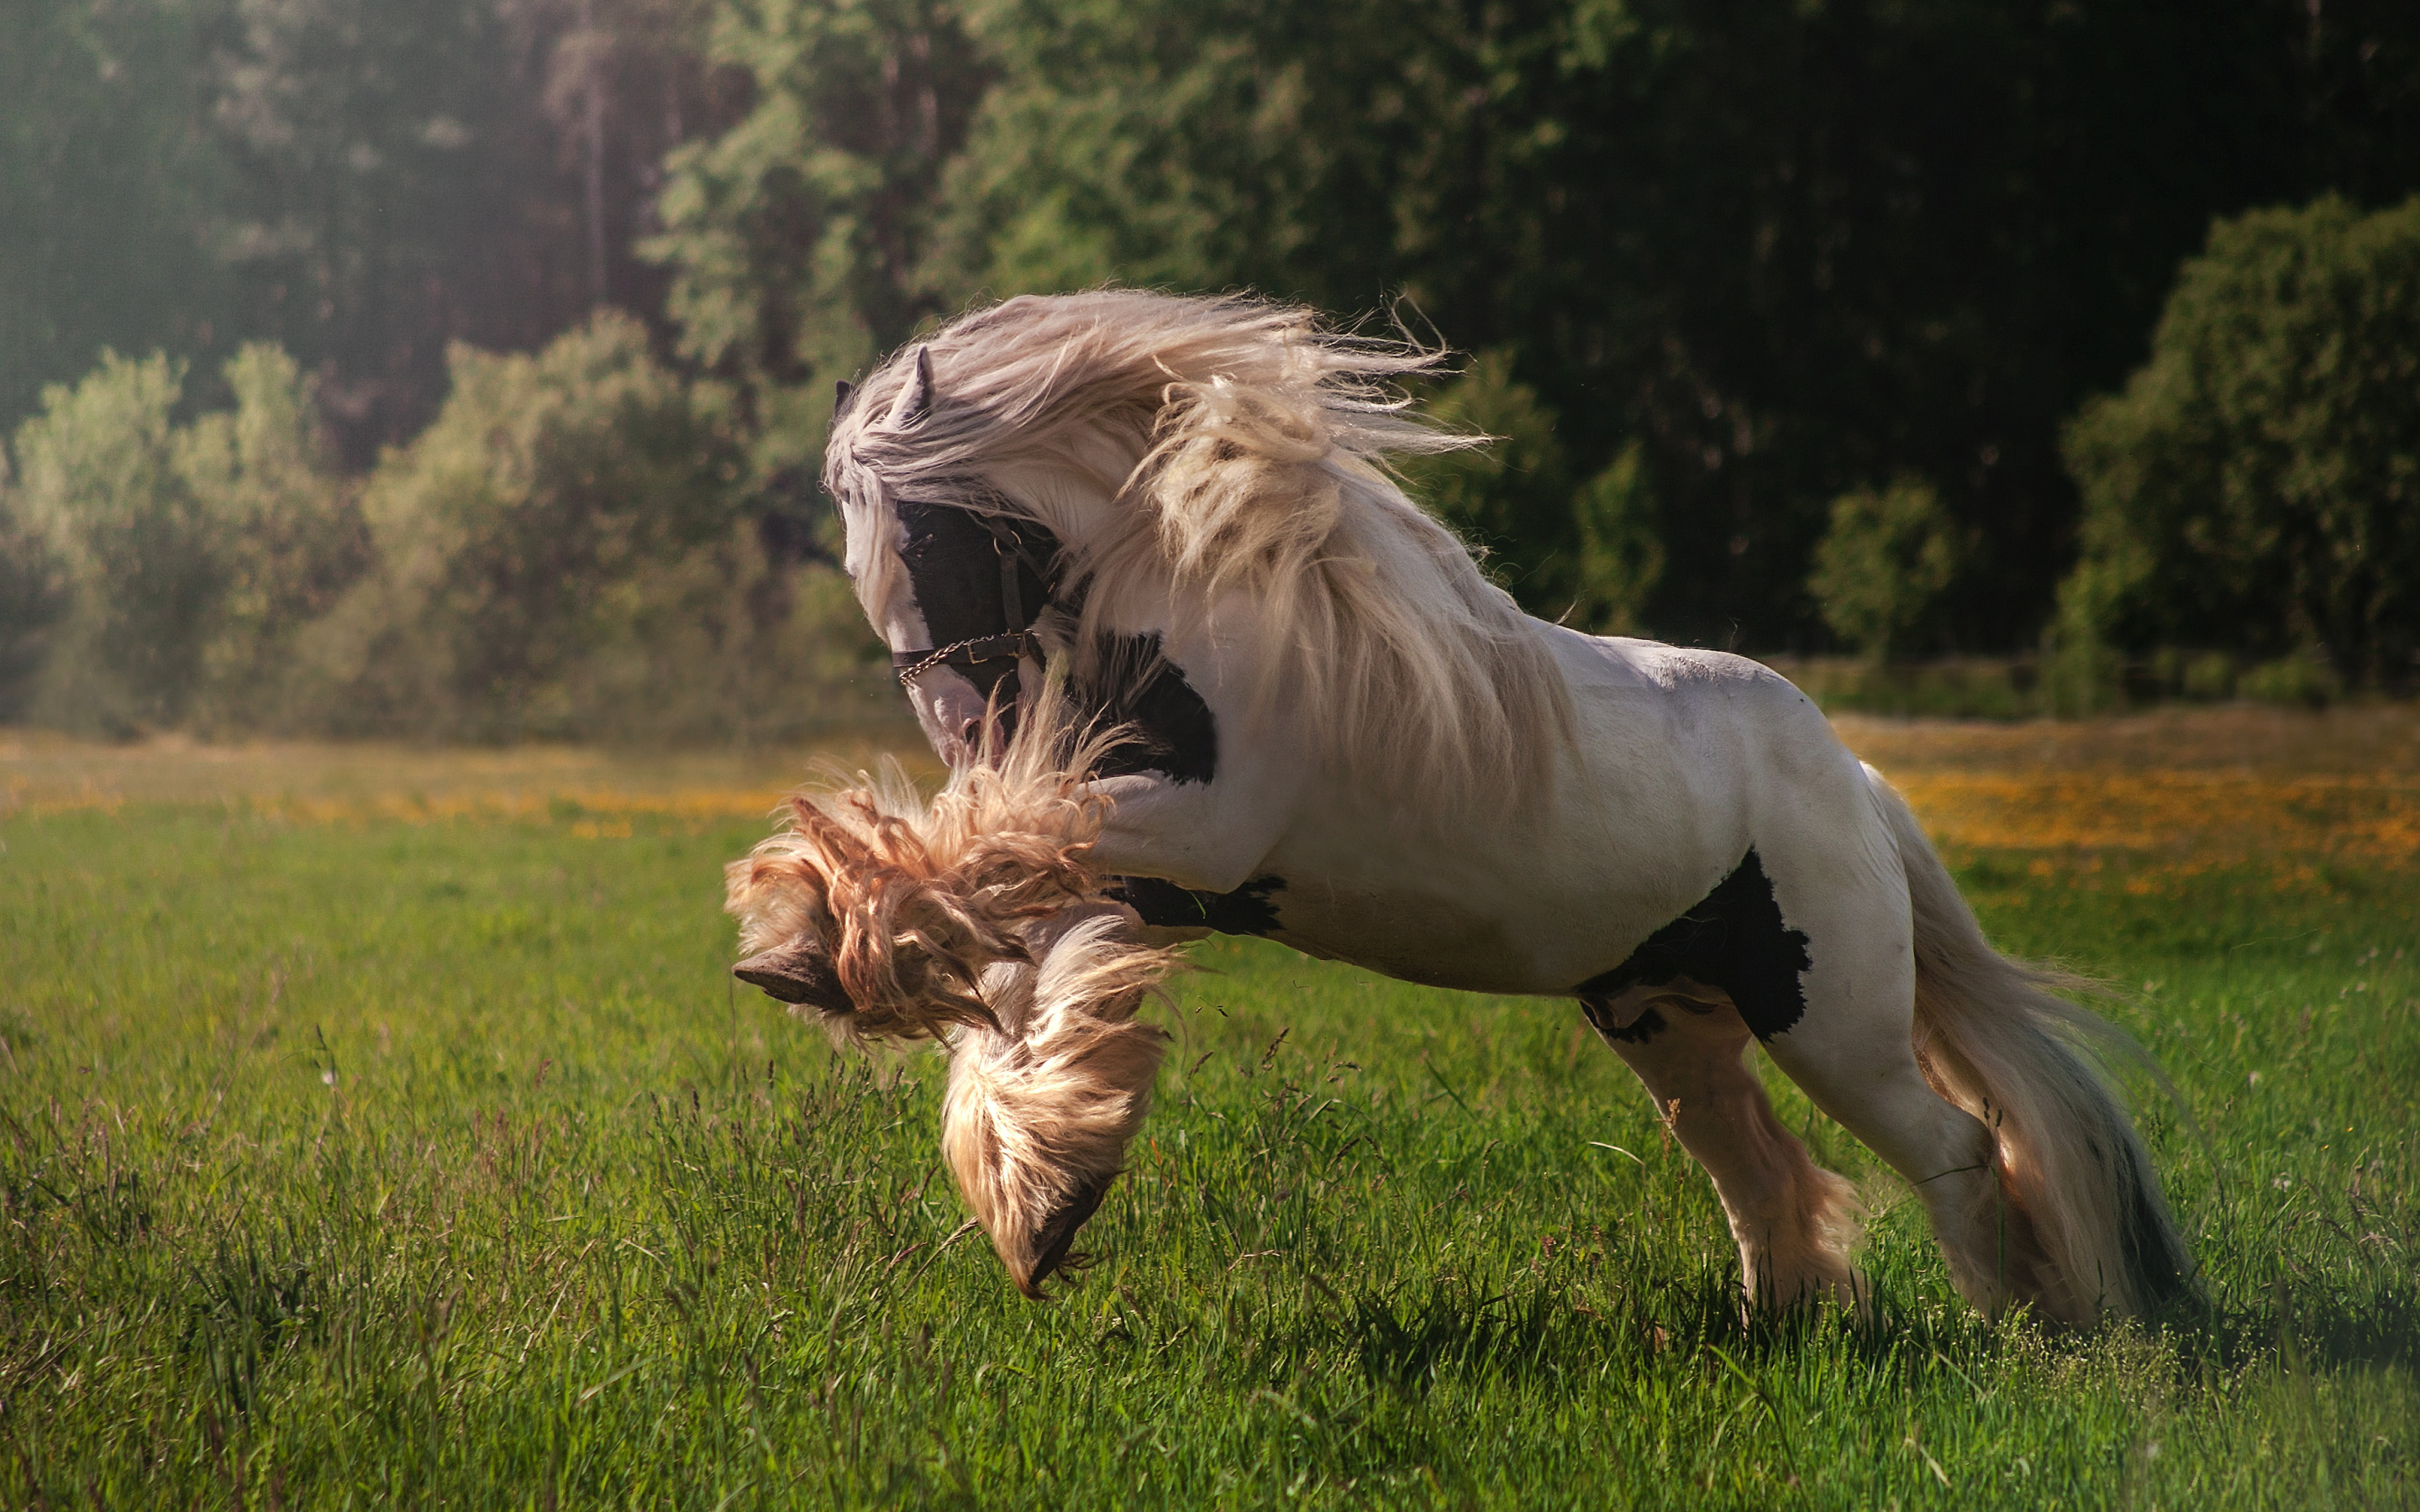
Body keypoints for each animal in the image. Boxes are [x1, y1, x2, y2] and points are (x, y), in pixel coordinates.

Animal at [726, 289, 2207, 1315]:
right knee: (1756, 1168)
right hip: (1665, 1019)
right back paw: (1781, 1330)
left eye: (921, 530)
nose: (968, 734)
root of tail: (1855, 783)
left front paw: (814, 945)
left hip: (1830, 1022)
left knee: (1956, 1146)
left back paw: (2016, 1329)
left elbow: (991, 896)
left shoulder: (1191, 828)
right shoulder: (1149, 865)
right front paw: (1039, 1185)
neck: (1204, 611)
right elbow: (1024, 967)